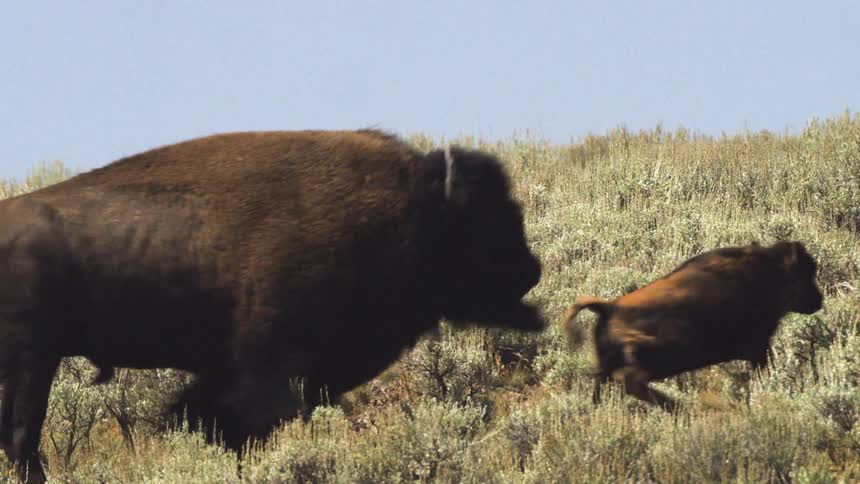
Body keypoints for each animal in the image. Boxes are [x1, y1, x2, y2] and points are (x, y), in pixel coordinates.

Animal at [0, 129, 545, 482]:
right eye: (483, 221)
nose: (530, 269)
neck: (409, 210)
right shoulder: (274, 371)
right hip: (32, 359)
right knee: (22, 433)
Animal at [561, 241, 823, 411]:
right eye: (805, 274)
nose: (818, 300)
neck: (769, 272)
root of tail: (610, 307)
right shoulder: (759, 347)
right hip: (661, 357)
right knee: (630, 380)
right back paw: (678, 406)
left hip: (608, 367)